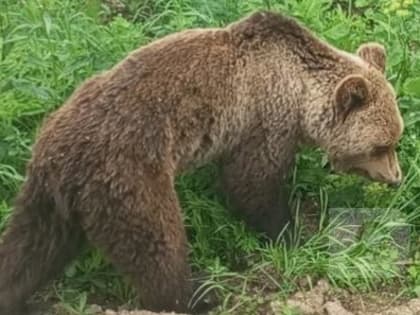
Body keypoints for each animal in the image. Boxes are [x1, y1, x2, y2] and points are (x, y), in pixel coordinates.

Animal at [0, 8, 404, 314]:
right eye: (381, 145)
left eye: (395, 139)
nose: (396, 177)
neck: (299, 88)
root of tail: (59, 155)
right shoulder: (264, 119)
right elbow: (252, 184)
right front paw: (295, 235)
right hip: (130, 174)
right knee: (156, 242)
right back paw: (199, 294)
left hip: (46, 193)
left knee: (29, 247)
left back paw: (12, 292)